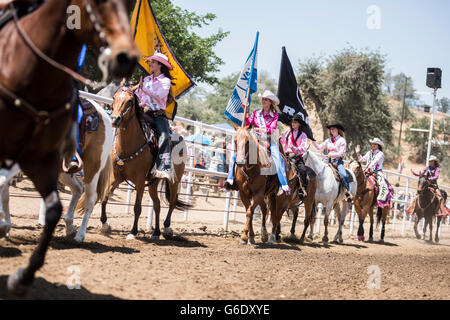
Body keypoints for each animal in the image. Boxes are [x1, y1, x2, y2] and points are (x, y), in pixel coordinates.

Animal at [0, 0, 139, 296]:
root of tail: (104, 114)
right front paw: (5, 225)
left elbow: (2, 186)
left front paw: (4, 224)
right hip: (63, 169)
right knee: (76, 190)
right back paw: (67, 225)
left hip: (92, 168)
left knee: (90, 197)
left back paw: (81, 233)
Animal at [101, 87, 189, 240]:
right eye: (114, 97)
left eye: (130, 101)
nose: (114, 119)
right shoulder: (116, 177)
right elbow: (105, 197)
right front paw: (105, 225)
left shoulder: (140, 181)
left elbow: (137, 207)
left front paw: (133, 232)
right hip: (153, 182)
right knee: (157, 204)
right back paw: (156, 232)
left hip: (175, 179)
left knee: (172, 201)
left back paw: (167, 228)